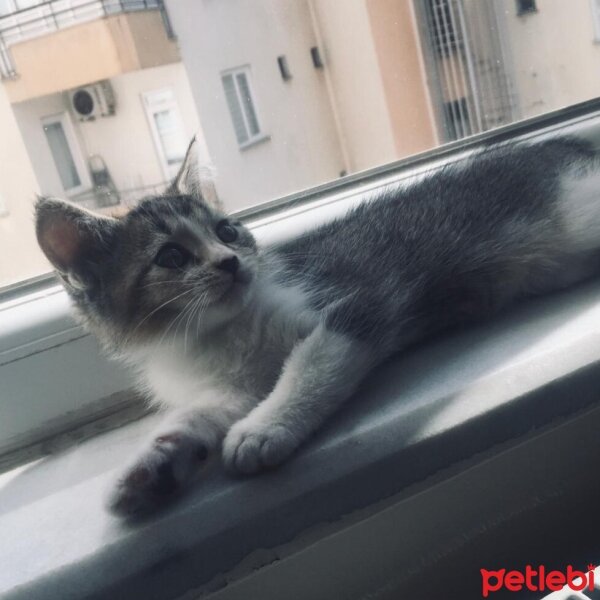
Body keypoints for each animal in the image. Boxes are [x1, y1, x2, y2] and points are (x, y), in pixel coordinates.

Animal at [36, 136, 600, 516]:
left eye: (226, 230)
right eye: (170, 256)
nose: (230, 263)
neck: (221, 332)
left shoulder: (358, 298)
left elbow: (313, 362)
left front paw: (263, 429)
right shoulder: (236, 382)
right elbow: (202, 413)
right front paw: (148, 469)